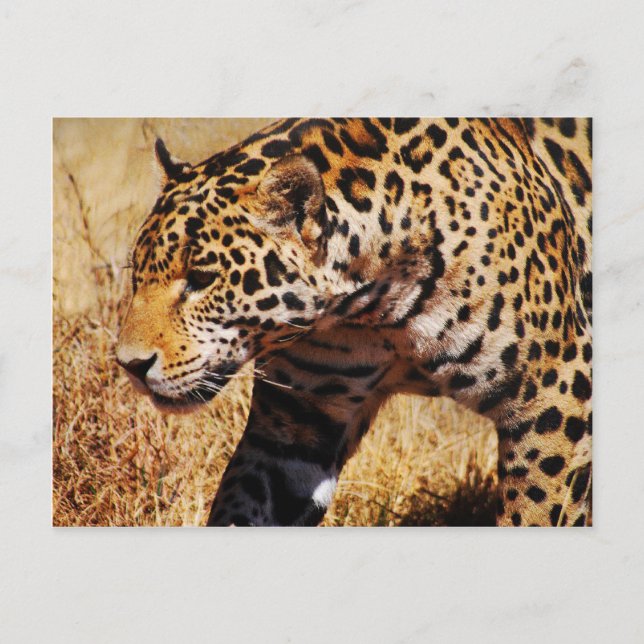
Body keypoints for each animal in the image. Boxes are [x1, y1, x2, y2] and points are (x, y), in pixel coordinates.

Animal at [116, 117, 592, 527]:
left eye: (201, 279)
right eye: (137, 275)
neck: (372, 307)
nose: (130, 365)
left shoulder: (552, 391)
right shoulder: (295, 423)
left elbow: (534, 511)